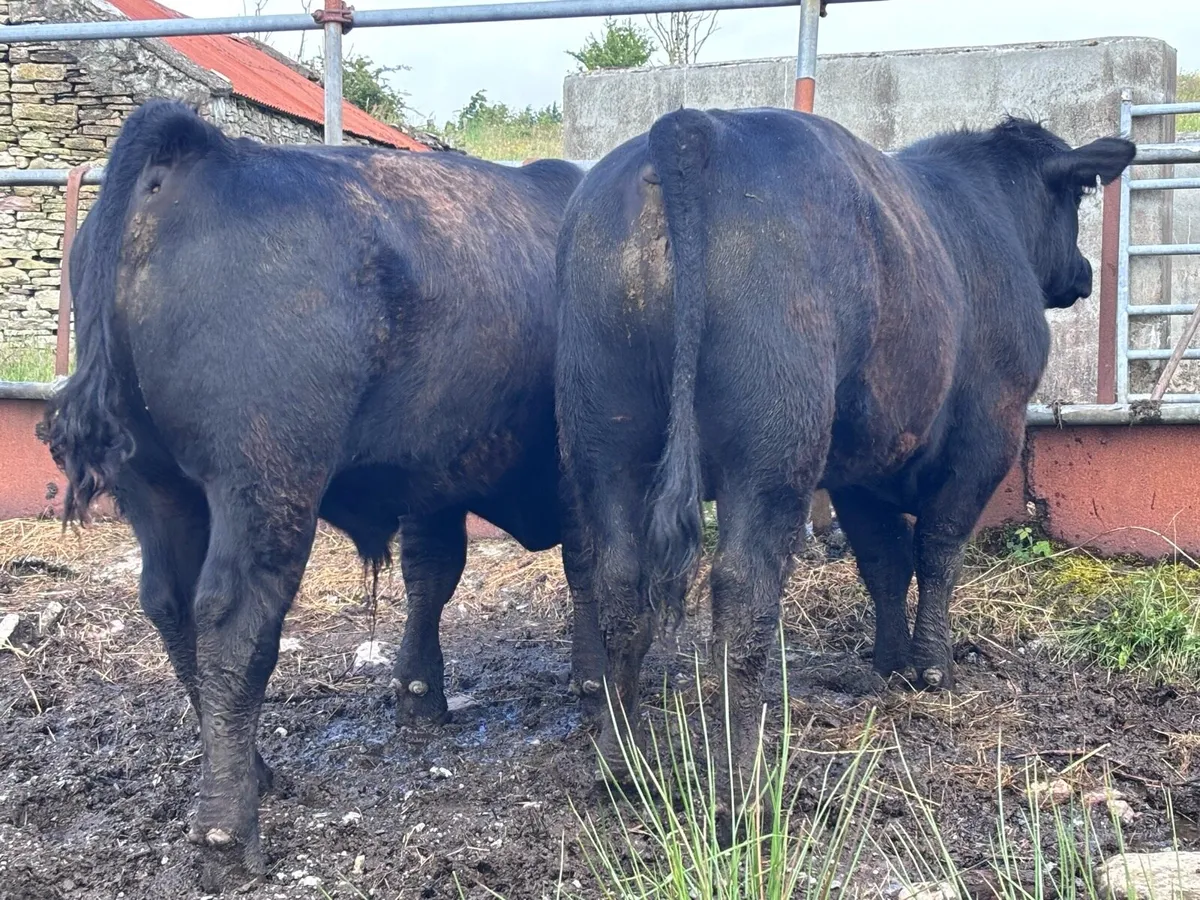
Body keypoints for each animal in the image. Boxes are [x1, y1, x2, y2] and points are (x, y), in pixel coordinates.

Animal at [39, 99, 593, 884]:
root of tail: (199, 149)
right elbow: (592, 568)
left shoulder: (433, 476)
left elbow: (432, 574)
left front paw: (420, 697)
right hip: (265, 479)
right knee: (233, 625)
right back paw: (228, 833)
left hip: (155, 486)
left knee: (171, 608)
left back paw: (254, 772)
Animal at [555, 107, 1134, 784]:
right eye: (1076, 196)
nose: (1085, 272)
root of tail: (690, 127)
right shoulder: (990, 430)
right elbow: (937, 548)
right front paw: (932, 666)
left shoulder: (863, 466)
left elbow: (884, 559)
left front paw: (890, 663)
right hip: (774, 443)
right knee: (743, 587)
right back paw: (743, 775)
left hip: (603, 438)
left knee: (620, 583)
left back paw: (619, 763)